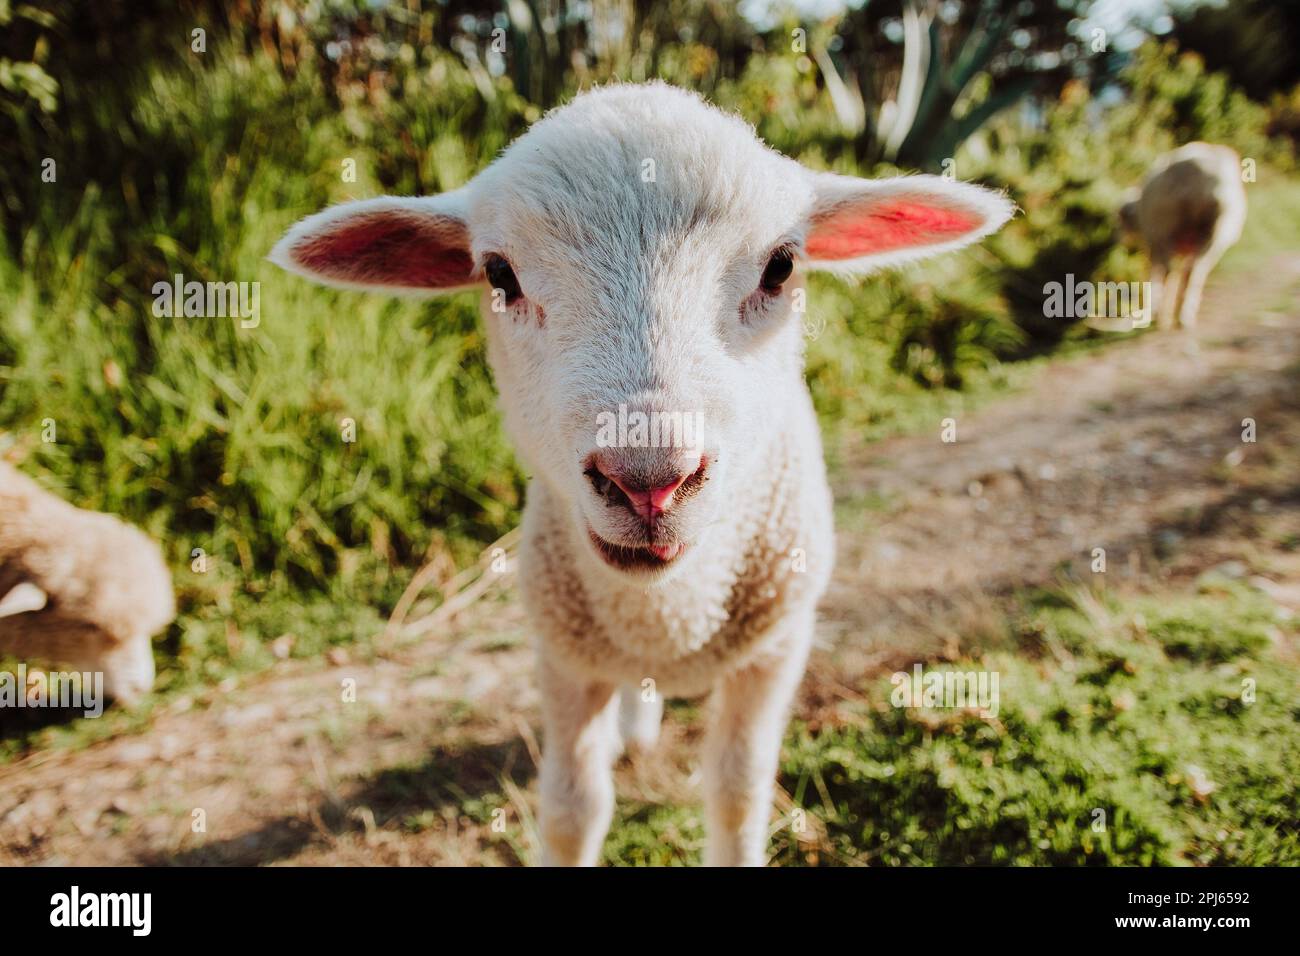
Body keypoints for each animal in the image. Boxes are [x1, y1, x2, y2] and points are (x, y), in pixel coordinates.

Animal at [1118, 140, 1248, 330]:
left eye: (1119, 222)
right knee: (1197, 272)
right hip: (1213, 235)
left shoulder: (1155, 243)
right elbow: (1182, 273)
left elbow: (1159, 275)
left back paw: (1163, 318)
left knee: (1170, 271)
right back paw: (1184, 316)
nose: (1122, 244)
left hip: (1166, 227)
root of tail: (1200, 174)